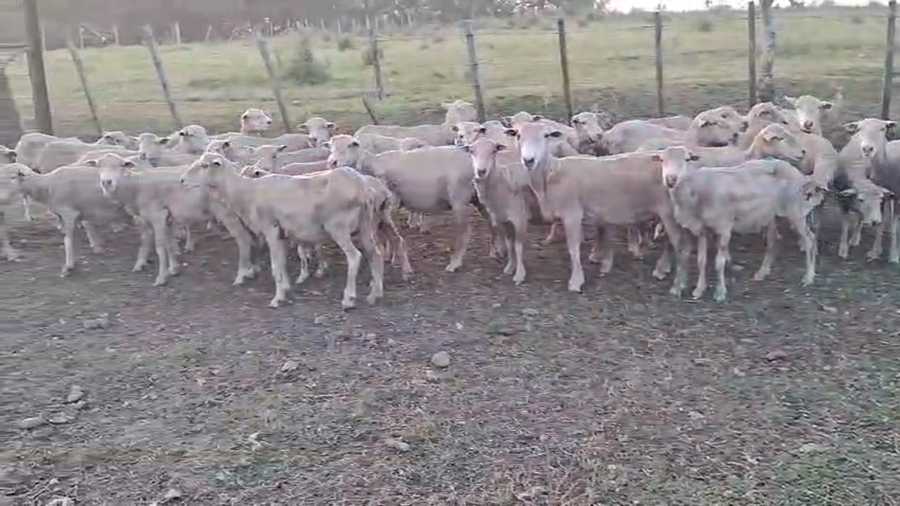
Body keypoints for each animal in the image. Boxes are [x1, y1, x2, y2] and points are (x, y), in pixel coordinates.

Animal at [181, 153, 384, 309]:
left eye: (204, 165)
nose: (182, 180)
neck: (246, 193)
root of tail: (361, 186)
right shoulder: (282, 234)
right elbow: (282, 264)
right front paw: (285, 288)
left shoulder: (270, 229)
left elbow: (275, 266)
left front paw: (277, 298)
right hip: (366, 225)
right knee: (375, 254)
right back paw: (375, 294)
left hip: (338, 227)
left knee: (355, 257)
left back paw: (349, 299)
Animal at [506, 121, 689, 294]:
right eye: (518, 135)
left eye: (546, 136)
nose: (528, 160)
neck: (551, 173)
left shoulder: (572, 213)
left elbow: (573, 248)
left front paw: (576, 281)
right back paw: (664, 269)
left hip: (669, 212)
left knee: (680, 247)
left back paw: (677, 284)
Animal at [658, 146, 825, 302]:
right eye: (662, 160)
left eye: (687, 159)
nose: (670, 180)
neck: (696, 191)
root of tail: (798, 173)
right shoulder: (701, 230)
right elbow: (701, 261)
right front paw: (699, 290)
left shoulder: (724, 227)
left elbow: (719, 262)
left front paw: (720, 293)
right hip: (771, 214)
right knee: (773, 241)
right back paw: (762, 273)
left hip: (795, 211)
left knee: (809, 240)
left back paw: (808, 277)